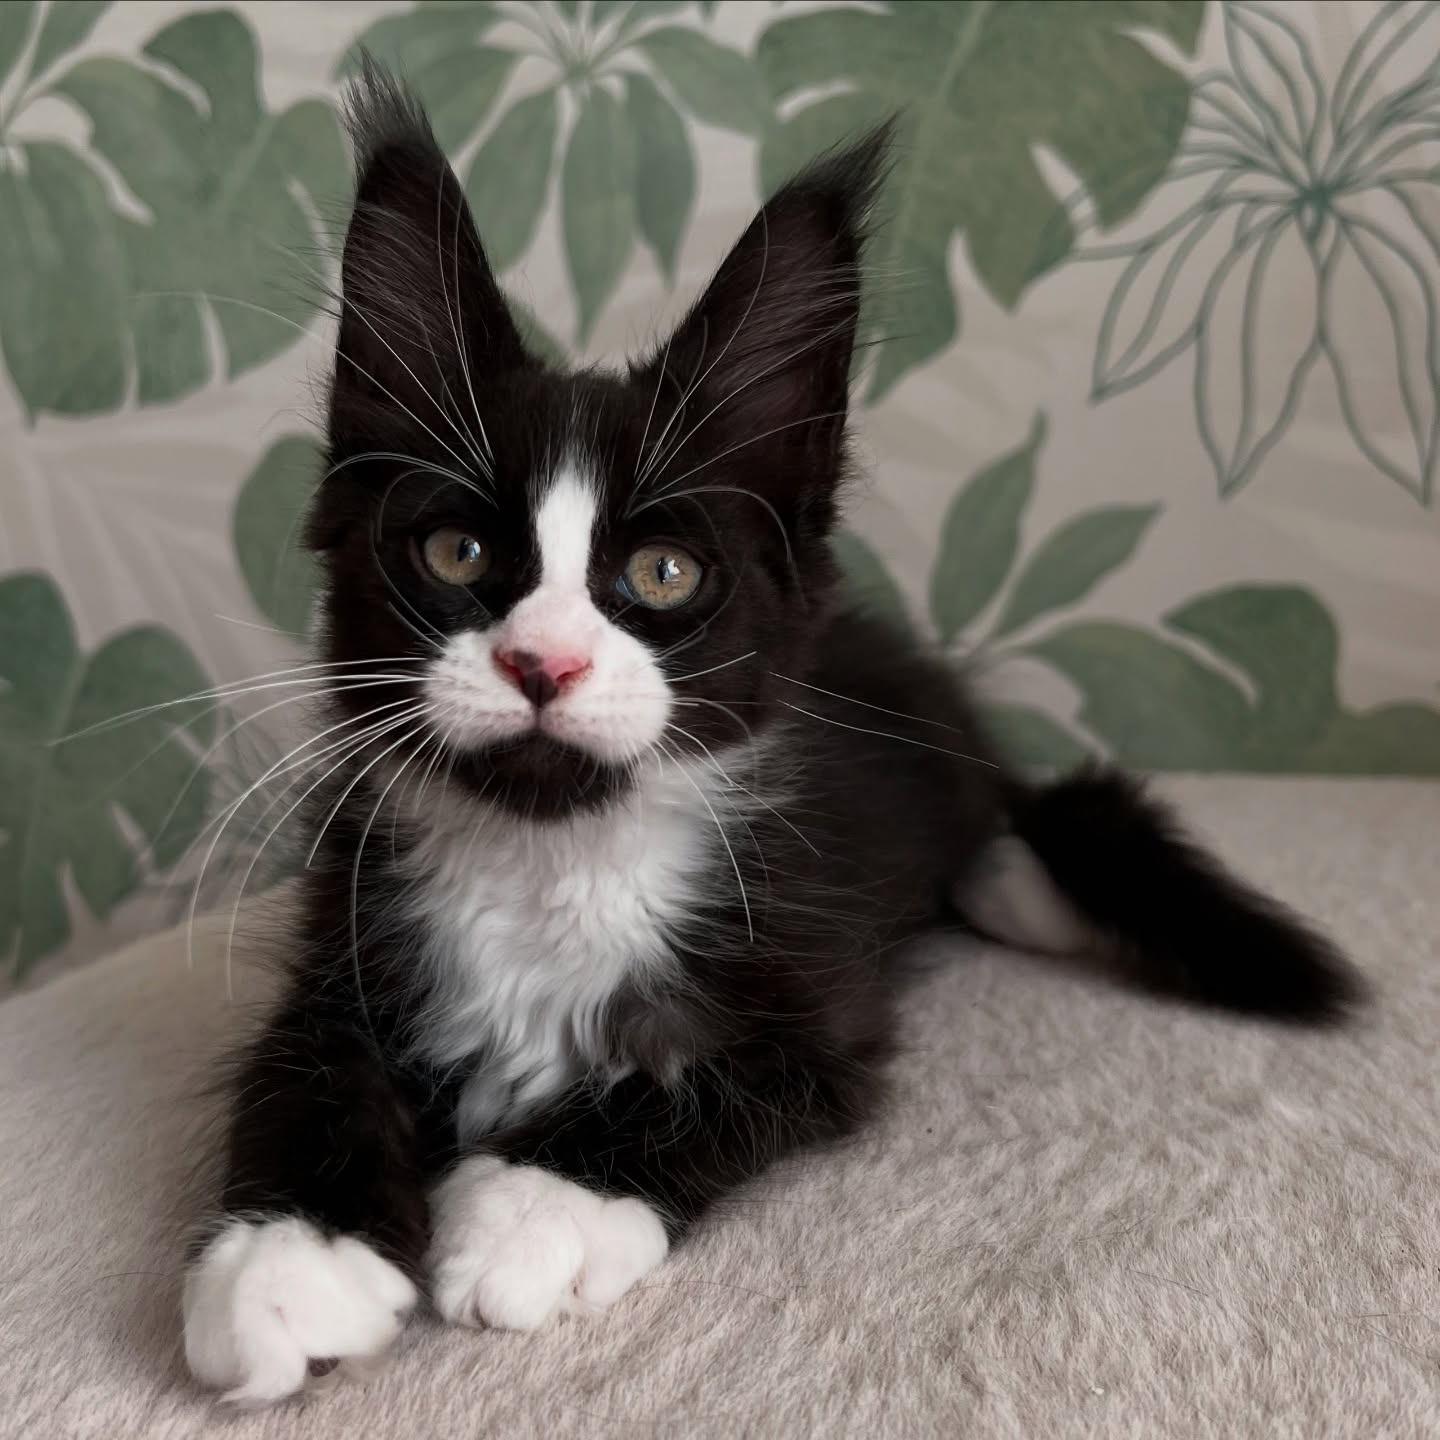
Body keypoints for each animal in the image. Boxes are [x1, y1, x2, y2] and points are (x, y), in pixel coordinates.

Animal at [182, 68, 1360, 1406]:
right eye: (457, 552)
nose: (545, 662)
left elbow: (699, 1079)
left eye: (663, 571)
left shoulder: (813, 986)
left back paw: (1019, 888)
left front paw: (527, 1209)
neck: (553, 863)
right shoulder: (351, 928)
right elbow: (301, 1060)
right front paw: (287, 1256)